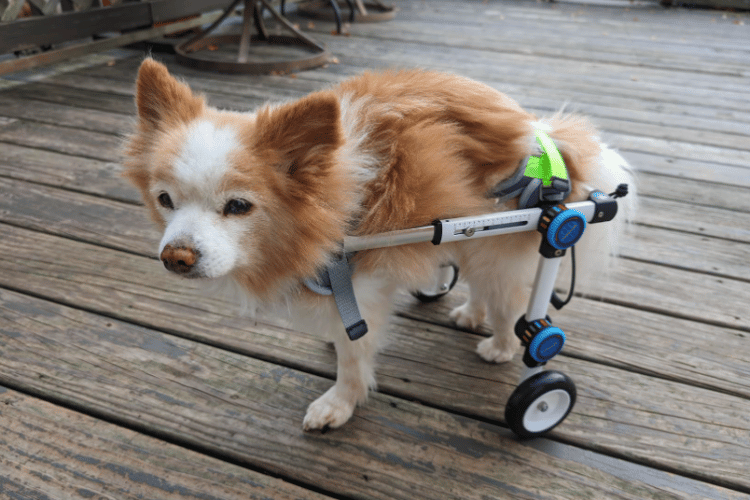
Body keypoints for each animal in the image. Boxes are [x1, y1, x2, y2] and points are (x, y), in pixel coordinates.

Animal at [123, 58, 636, 432]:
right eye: (165, 200)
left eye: (238, 206)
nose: (176, 257)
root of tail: (551, 141)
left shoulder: (359, 288)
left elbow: (355, 359)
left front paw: (339, 404)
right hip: (468, 229)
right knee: (475, 280)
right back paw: (471, 313)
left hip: (509, 239)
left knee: (511, 304)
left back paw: (505, 347)